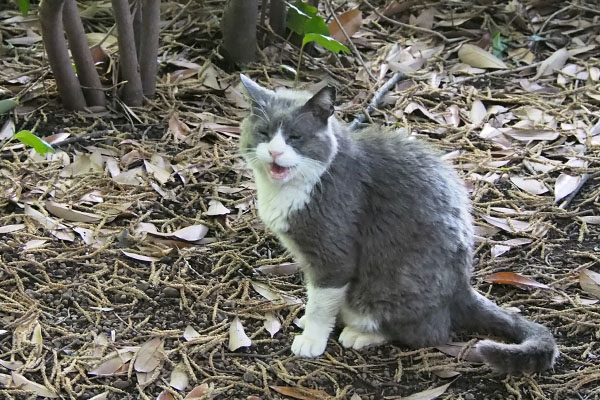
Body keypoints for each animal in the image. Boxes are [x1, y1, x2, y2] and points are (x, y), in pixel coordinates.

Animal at [238, 73, 556, 374]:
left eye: (295, 137)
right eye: (264, 133)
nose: (275, 152)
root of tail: (463, 288)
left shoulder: (334, 252)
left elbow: (321, 301)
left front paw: (312, 340)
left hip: (396, 286)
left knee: (429, 333)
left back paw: (361, 334)